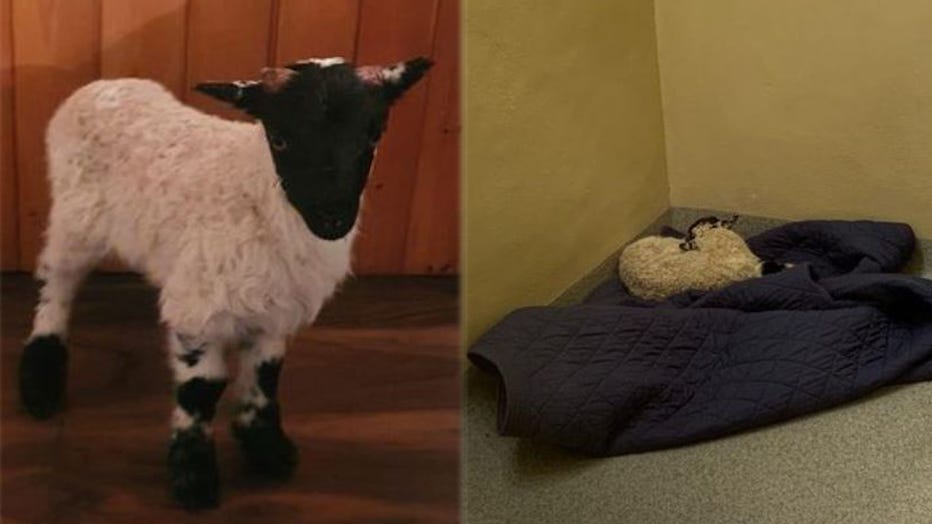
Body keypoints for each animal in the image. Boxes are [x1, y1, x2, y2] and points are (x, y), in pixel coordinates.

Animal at [17, 56, 432, 510]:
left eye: (373, 133)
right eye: (280, 139)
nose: (332, 218)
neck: (257, 192)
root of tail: (101, 85)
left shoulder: (277, 310)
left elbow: (266, 375)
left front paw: (267, 447)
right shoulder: (197, 308)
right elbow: (202, 389)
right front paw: (193, 476)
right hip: (76, 216)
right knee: (56, 283)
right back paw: (41, 377)